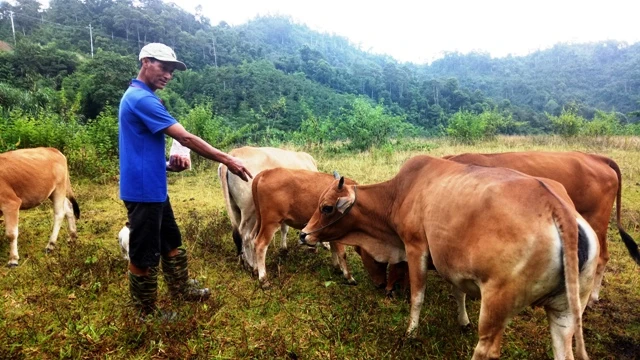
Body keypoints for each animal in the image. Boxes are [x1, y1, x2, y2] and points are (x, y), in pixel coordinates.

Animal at [302, 155, 600, 360]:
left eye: (326, 207)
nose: (304, 234)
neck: (399, 192)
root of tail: (558, 208)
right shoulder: (452, 263)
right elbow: (459, 293)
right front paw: (462, 321)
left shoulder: (415, 247)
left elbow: (417, 297)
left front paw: (411, 332)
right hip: (565, 313)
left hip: (496, 304)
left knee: (487, 350)